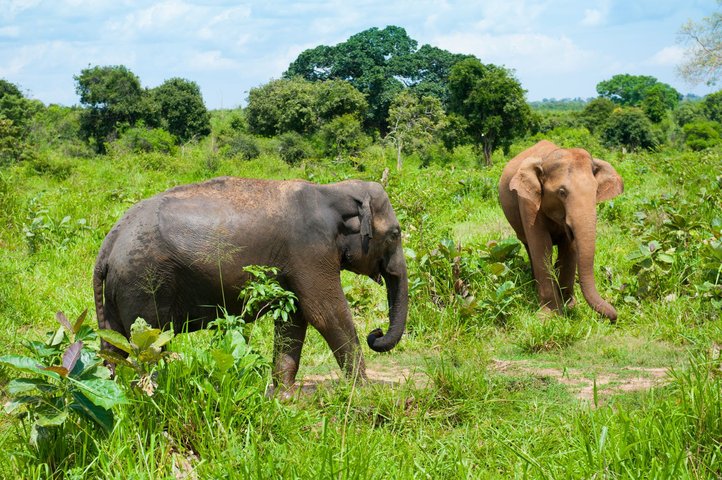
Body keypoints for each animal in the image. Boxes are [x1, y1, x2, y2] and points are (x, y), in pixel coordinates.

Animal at [95, 177, 408, 394]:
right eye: (395, 234)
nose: (376, 333)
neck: (331, 190)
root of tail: (110, 240)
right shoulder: (310, 249)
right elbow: (325, 313)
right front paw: (364, 391)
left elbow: (295, 317)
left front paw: (284, 395)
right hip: (144, 282)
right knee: (149, 343)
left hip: (120, 290)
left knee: (114, 345)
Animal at [498, 141, 620, 324]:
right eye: (562, 192)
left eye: (596, 191)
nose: (613, 318)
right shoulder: (528, 202)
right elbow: (543, 246)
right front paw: (550, 316)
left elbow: (570, 247)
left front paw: (569, 306)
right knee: (528, 246)